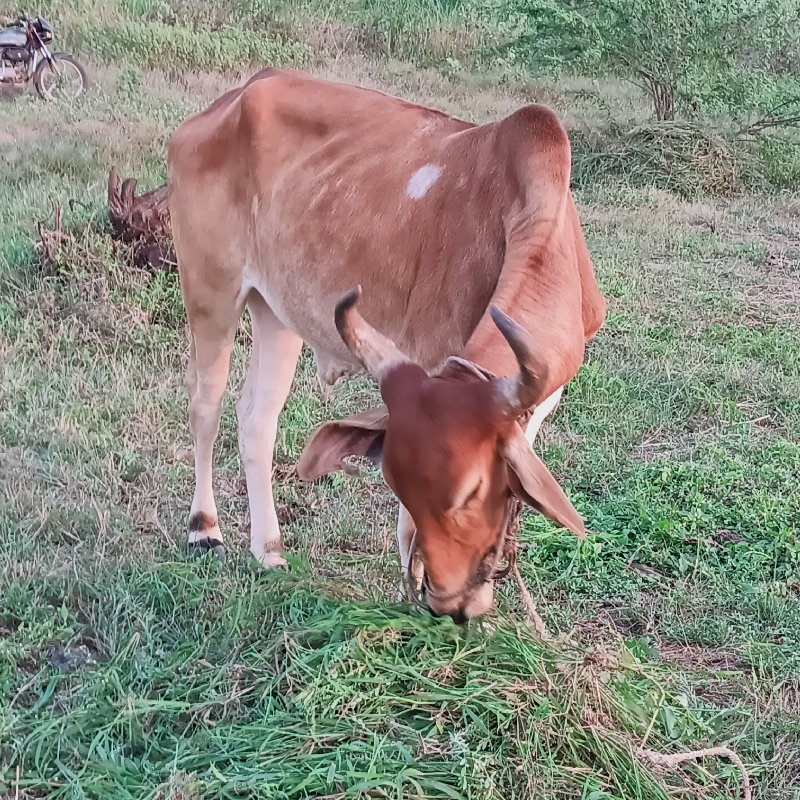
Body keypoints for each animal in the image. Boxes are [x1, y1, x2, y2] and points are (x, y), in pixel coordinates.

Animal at [170, 67, 608, 620]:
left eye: (472, 491)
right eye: (396, 480)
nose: (447, 602)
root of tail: (232, 99)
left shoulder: (537, 406)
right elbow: (406, 528)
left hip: (277, 313)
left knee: (256, 419)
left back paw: (268, 550)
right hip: (211, 292)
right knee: (205, 405)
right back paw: (204, 528)